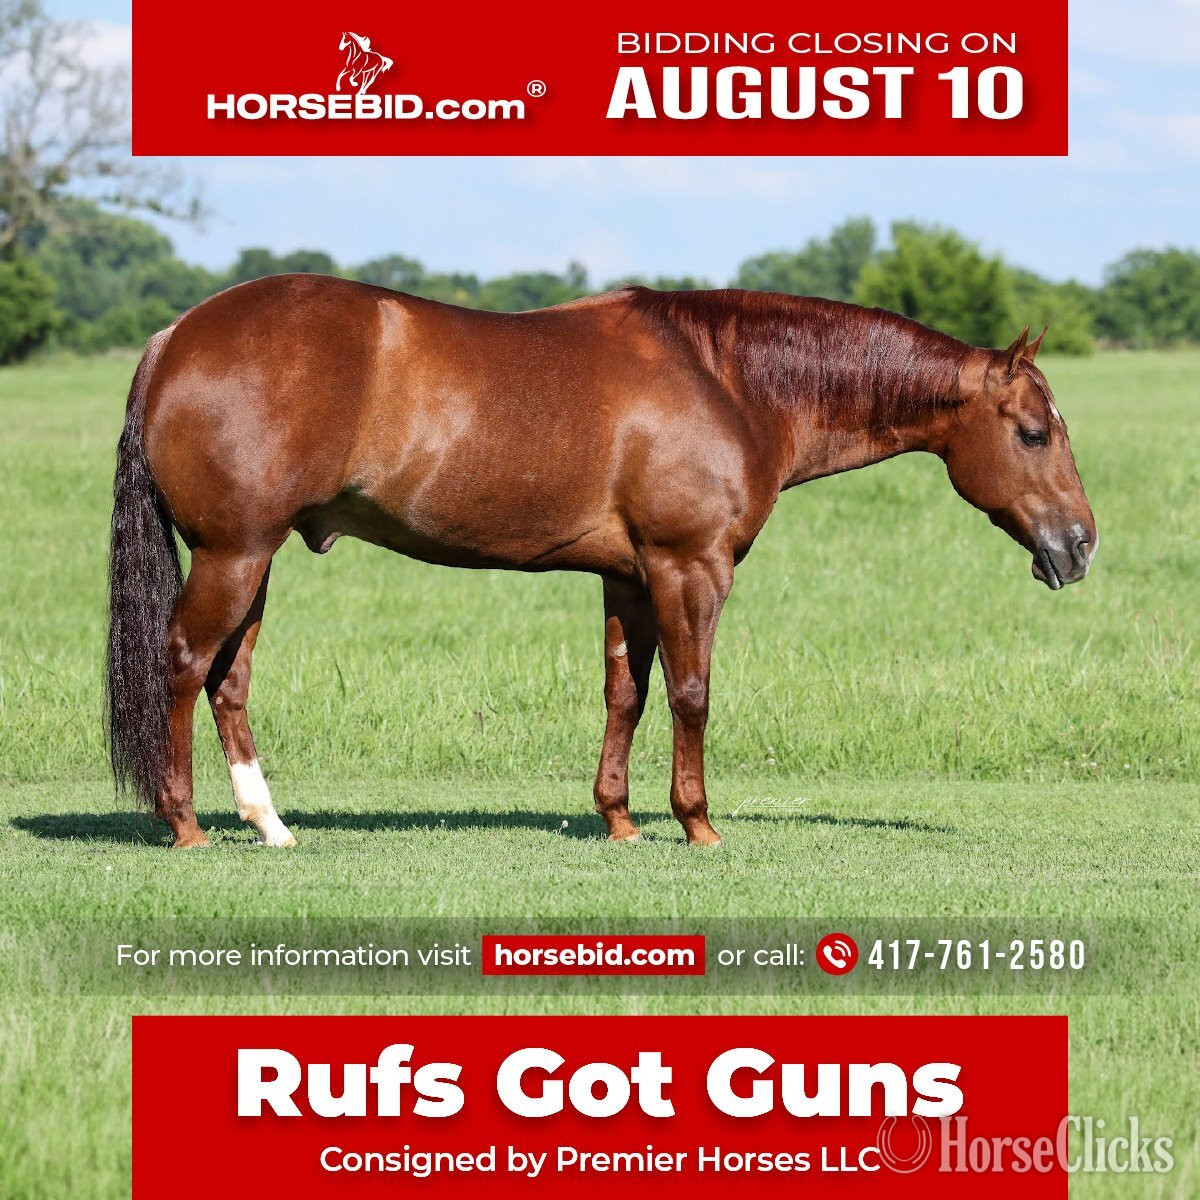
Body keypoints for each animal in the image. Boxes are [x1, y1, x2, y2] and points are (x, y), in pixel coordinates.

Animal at [105, 278, 1097, 849]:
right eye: (1033, 432)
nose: (1082, 544)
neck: (728, 379)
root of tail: (175, 335)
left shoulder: (628, 577)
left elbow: (627, 692)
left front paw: (618, 818)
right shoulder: (691, 568)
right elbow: (692, 694)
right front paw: (697, 824)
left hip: (253, 560)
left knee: (229, 682)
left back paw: (268, 824)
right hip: (234, 556)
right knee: (184, 666)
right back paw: (184, 824)